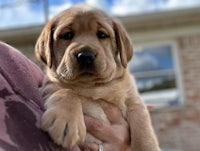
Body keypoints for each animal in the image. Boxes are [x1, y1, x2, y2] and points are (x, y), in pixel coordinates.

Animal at [35, 3, 161, 151]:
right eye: (67, 35)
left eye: (102, 34)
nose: (85, 56)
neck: (92, 86)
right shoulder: (48, 85)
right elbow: (66, 91)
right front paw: (66, 119)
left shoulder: (134, 101)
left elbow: (142, 128)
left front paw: (146, 144)